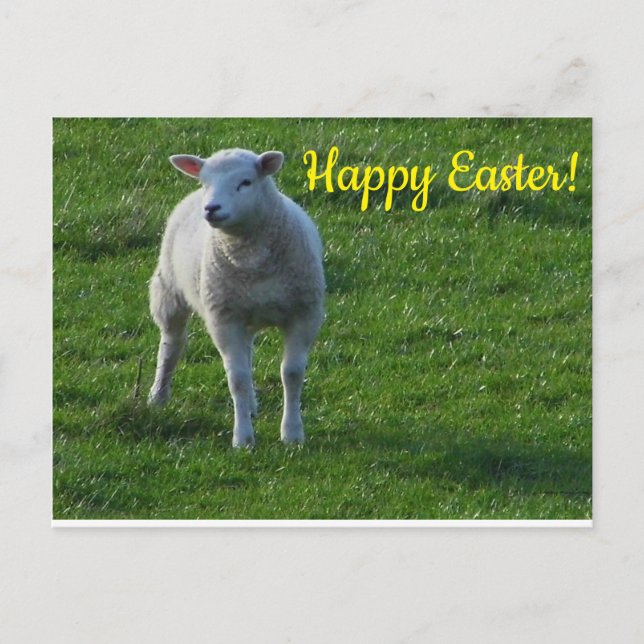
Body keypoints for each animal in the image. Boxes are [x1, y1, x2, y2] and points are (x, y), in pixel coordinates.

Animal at [147, 148, 325, 448]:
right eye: (205, 183)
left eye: (245, 182)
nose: (211, 208)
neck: (253, 261)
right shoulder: (224, 319)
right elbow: (238, 378)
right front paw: (243, 438)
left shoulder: (304, 314)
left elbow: (291, 373)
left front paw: (292, 433)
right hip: (170, 291)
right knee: (171, 346)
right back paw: (158, 395)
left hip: (245, 310)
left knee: (247, 351)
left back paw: (251, 406)